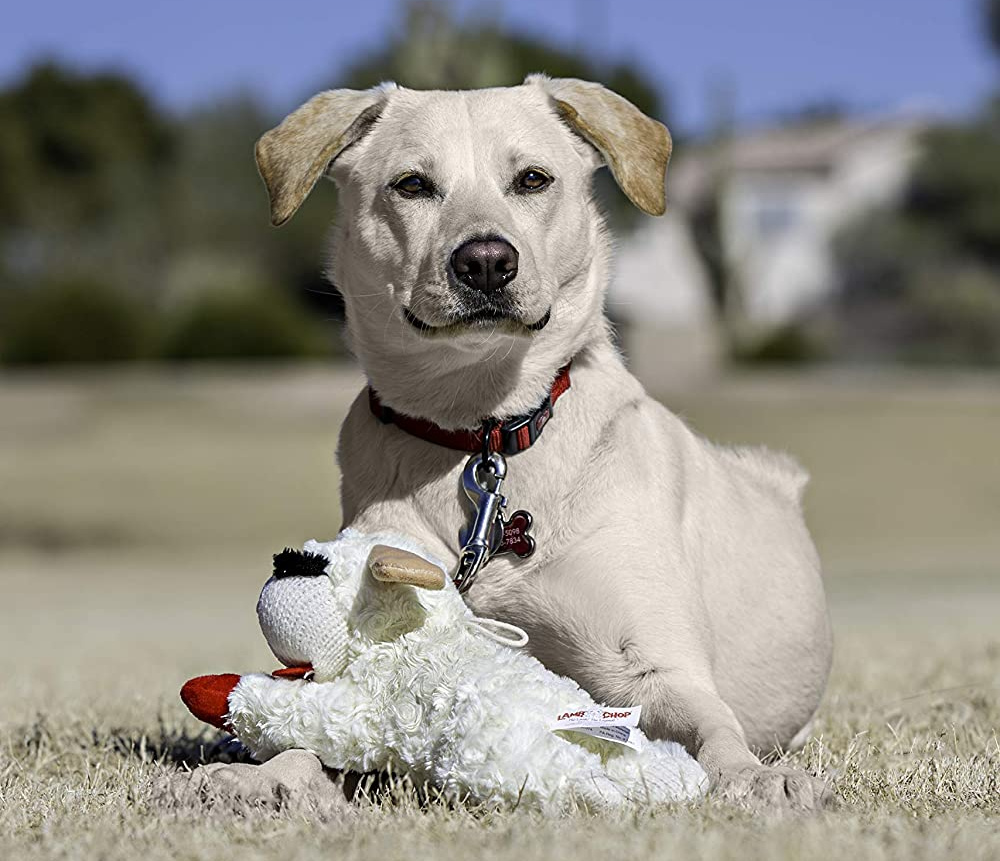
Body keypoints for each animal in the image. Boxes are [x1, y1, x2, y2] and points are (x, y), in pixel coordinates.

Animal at [236, 74, 836, 808]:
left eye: (532, 179)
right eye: (411, 184)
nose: (486, 261)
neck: (482, 428)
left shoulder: (649, 664)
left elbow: (711, 726)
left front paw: (752, 776)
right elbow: (317, 732)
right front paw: (263, 775)